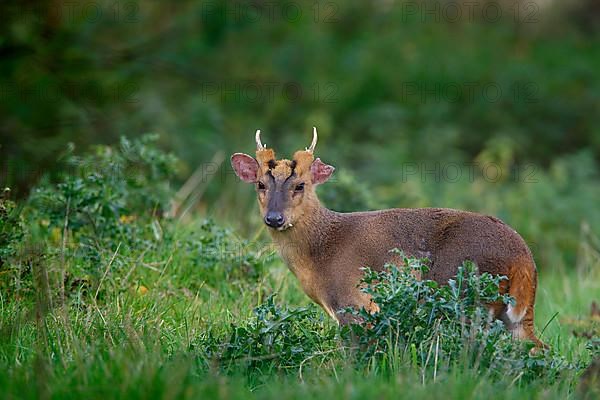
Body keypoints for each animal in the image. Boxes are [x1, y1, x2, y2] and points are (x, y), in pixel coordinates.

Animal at [230, 129, 544, 346]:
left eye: (300, 185)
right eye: (260, 184)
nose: (274, 218)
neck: (322, 252)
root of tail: (525, 259)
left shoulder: (354, 304)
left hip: (465, 295)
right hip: (512, 315)